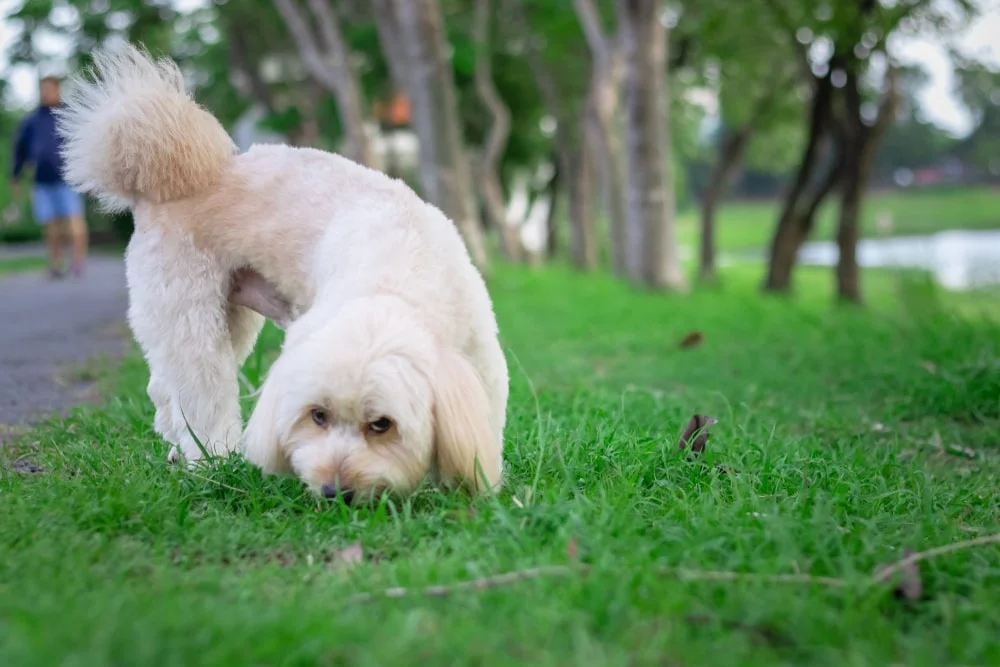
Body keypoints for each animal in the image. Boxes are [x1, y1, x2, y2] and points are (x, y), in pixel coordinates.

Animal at [54, 43, 508, 500]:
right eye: (318, 416)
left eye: (381, 425)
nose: (334, 491)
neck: (395, 271)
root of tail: (170, 183)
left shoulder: (481, 358)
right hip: (188, 311)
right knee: (199, 391)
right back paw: (213, 461)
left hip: (228, 319)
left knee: (164, 387)